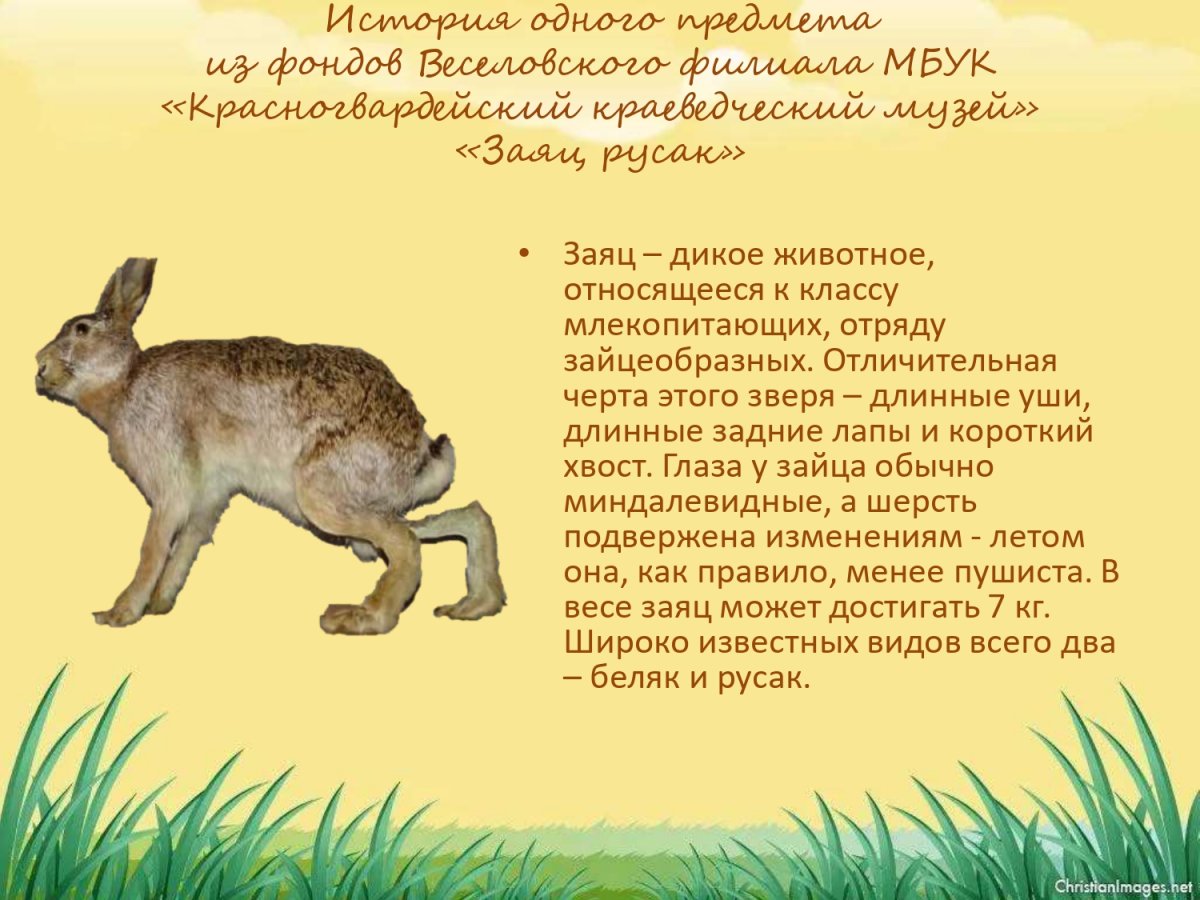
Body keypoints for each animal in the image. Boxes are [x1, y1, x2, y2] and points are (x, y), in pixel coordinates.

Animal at [35, 257, 506, 634]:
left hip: (322, 498)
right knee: (464, 517)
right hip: (338, 509)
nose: (39, 366)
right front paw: (159, 606)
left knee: (405, 543)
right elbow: (185, 548)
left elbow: (153, 549)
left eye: (80, 329)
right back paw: (475, 606)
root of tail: (419, 454)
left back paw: (358, 618)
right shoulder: (208, 498)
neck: (124, 381)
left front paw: (119, 614)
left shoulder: (171, 487)